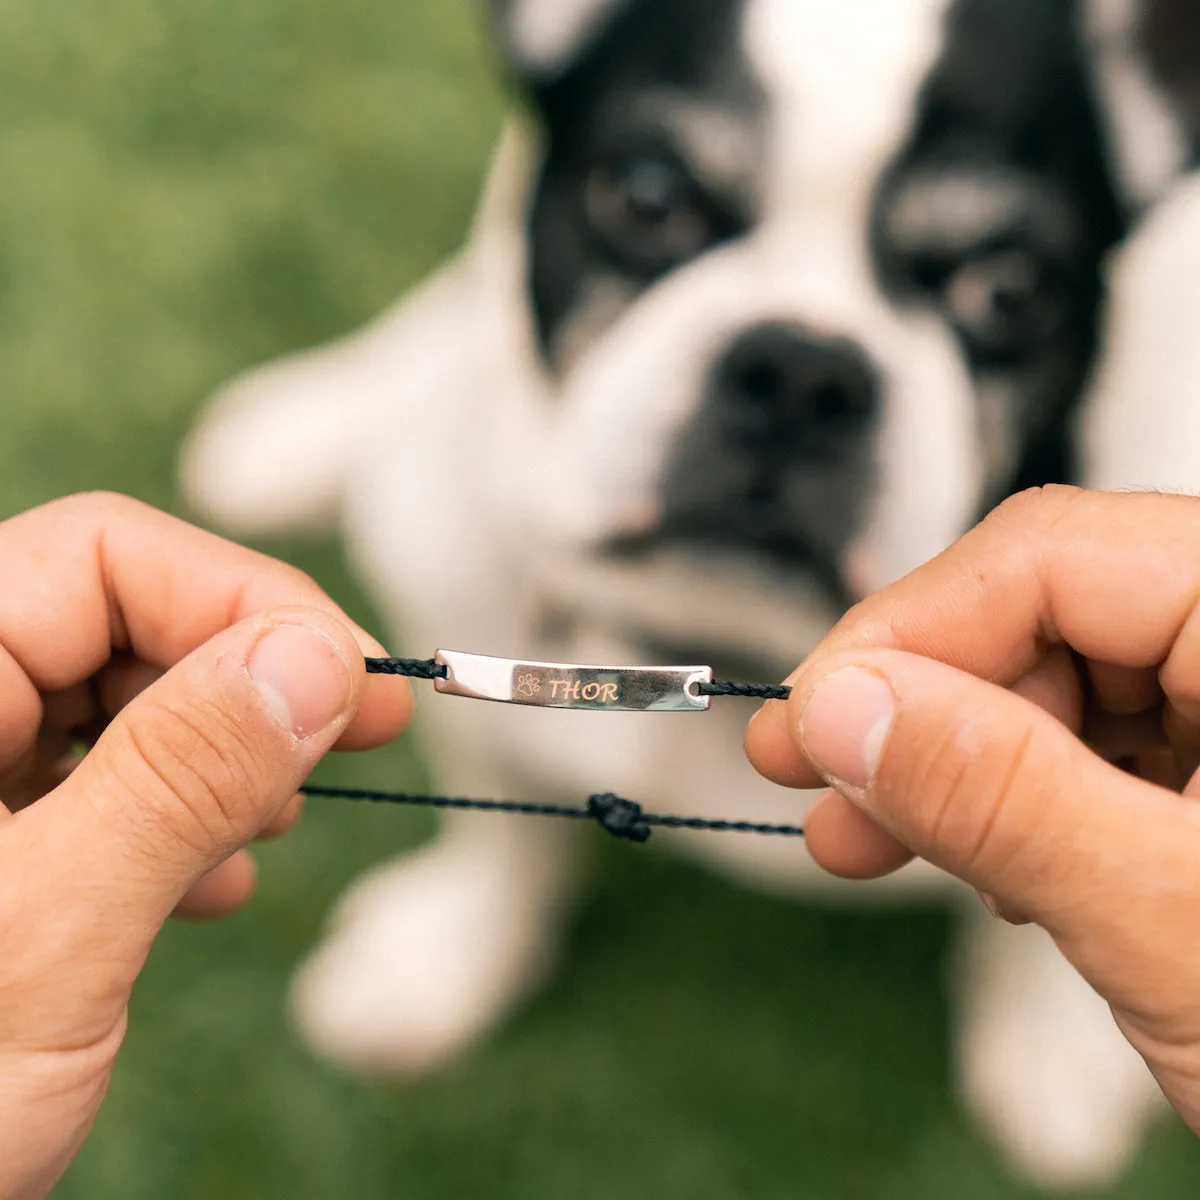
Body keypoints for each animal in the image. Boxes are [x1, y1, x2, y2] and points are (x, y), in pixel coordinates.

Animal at [182, 0, 1195, 1180]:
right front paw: (451, 954)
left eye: (1011, 287)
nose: (804, 370)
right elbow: (504, 836)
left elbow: (1057, 910)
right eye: (646, 196)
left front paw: (1049, 1048)